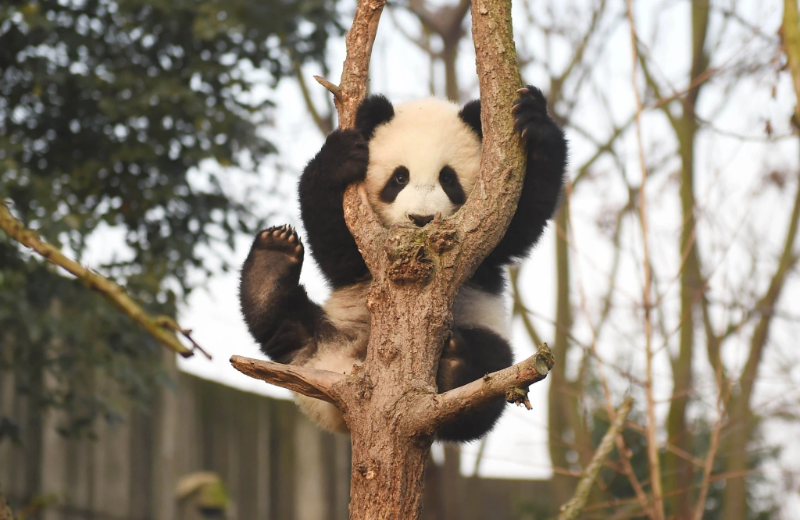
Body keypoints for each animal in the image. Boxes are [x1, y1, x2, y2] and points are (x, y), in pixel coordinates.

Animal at [239, 86, 566, 442]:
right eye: (399, 178)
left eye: (448, 179)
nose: (421, 219)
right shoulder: (363, 250)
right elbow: (337, 250)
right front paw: (340, 157)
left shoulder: (485, 243)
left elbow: (521, 220)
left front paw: (534, 120)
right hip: (327, 328)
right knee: (285, 328)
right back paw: (270, 264)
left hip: (484, 332)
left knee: (488, 375)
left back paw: (454, 367)